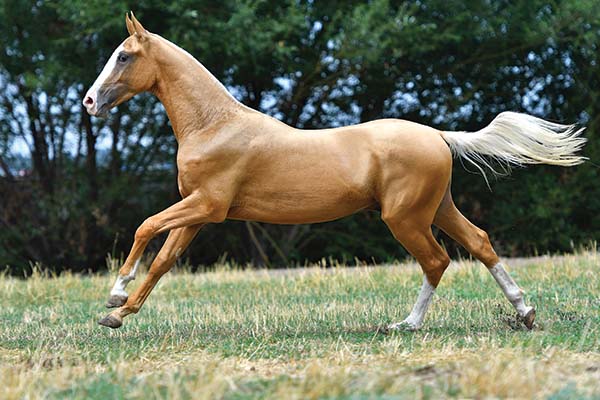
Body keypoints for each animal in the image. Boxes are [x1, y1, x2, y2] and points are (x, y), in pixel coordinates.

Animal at [84, 13, 584, 332]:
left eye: (124, 56)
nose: (89, 102)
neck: (215, 125)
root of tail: (439, 135)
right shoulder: (198, 213)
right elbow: (163, 261)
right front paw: (118, 315)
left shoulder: (207, 205)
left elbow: (145, 227)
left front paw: (114, 296)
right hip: (437, 208)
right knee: (479, 243)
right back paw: (524, 313)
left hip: (405, 218)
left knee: (437, 260)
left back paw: (405, 325)